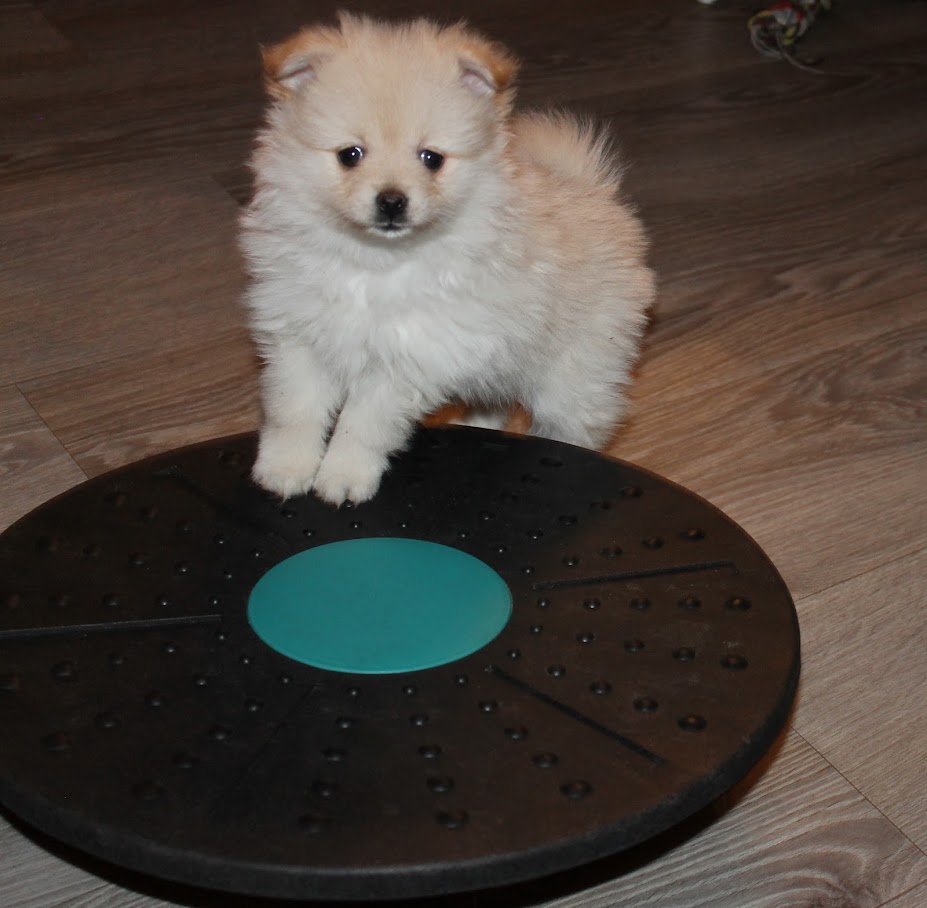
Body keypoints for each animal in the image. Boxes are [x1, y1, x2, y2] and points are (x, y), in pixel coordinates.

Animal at [243, 14, 656, 508]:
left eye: (431, 159)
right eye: (350, 155)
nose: (392, 201)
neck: (372, 262)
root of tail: (597, 194)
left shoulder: (407, 357)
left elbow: (362, 423)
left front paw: (343, 475)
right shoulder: (299, 334)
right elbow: (294, 409)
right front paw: (285, 469)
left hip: (575, 374)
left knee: (573, 423)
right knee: (493, 403)